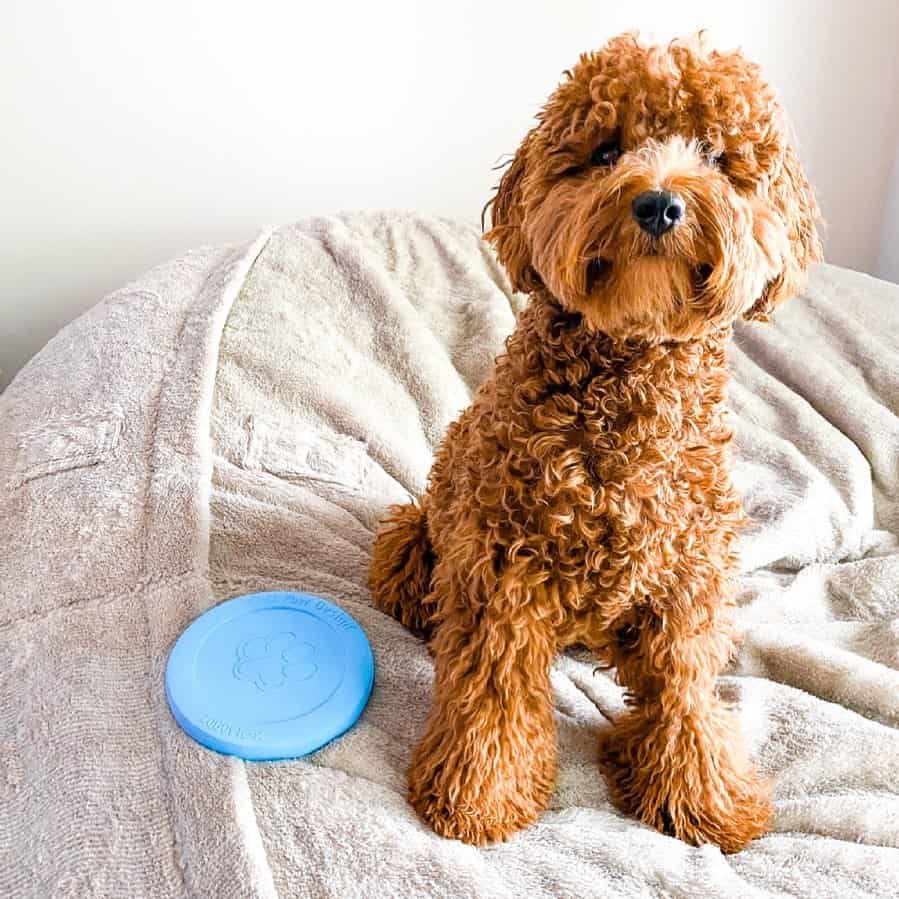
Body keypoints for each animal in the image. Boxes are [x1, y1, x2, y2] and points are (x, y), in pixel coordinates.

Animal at [368, 31, 824, 856]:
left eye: (715, 155)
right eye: (606, 150)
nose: (658, 202)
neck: (628, 380)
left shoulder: (685, 584)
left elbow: (684, 694)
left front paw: (703, 797)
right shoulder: (501, 571)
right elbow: (494, 694)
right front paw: (480, 795)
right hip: (417, 538)